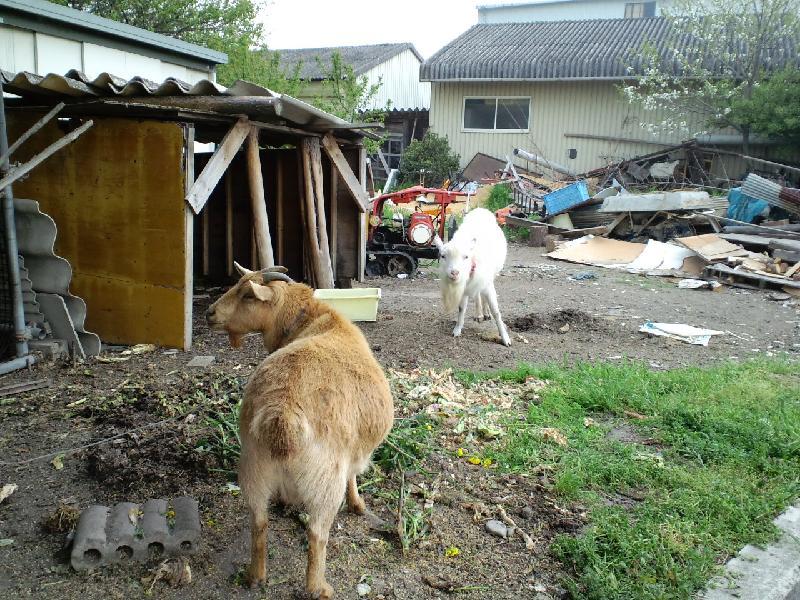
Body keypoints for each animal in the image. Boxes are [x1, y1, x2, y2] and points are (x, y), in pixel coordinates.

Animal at [206, 264, 394, 596]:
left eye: (246, 294)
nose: (209, 313)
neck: (314, 320)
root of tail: (283, 413)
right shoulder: (353, 454)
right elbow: (353, 477)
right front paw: (358, 505)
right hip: (324, 482)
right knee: (317, 533)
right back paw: (319, 587)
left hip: (252, 467)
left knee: (259, 522)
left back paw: (255, 575)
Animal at [434, 207, 510, 344]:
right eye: (442, 256)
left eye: (466, 257)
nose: (454, 273)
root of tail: (481, 210)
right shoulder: (464, 286)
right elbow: (461, 308)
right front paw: (457, 329)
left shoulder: (486, 282)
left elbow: (496, 311)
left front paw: (505, 338)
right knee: (478, 295)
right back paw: (479, 314)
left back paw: (485, 313)